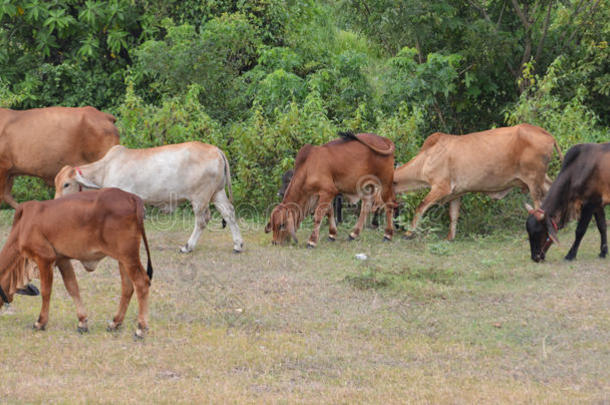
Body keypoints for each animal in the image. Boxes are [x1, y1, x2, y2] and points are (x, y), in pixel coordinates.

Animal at [0, 188, 151, 336]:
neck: (22, 227)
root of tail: (132, 197)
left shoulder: (45, 258)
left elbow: (45, 291)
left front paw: (40, 322)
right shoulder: (62, 259)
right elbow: (72, 287)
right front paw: (82, 322)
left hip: (129, 256)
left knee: (142, 282)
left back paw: (140, 328)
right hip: (123, 259)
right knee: (127, 287)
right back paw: (115, 323)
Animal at [52, 140, 242, 251]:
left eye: (66, 184)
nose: (55, 203)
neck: (105, 169)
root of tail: (216, 150)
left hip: (200, 198)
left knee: (202, 220)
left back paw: (187, 246)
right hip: (217, 193)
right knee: (229, 213)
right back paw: (238, 244)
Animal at [264, 132, 394, 246]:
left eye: (282, 225)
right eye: (273, 225)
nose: (275, 242)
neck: (307, 169)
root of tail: (383, 139)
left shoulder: (328, 191)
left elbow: (318, 216)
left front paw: (312, 241)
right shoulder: (324, 194)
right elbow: (329, 212)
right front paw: (332, 235)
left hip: (385, 183)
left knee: (389, 204)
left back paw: (387, 235)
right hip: (365, 186)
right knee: (366, 206)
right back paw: (353, 234)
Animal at [392, 123, 560, 240]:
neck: (426, 158)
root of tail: (548, 135)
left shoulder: (441, 188)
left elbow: (420, 207)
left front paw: (408, 233)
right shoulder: (456, 193)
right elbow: (453, 215)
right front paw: (450, 238)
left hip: (533, 180)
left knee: (538, 206)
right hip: (541, 178)